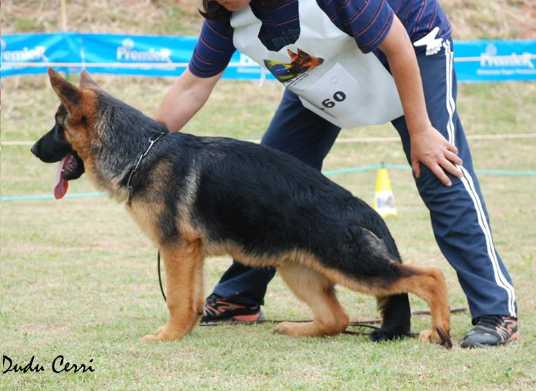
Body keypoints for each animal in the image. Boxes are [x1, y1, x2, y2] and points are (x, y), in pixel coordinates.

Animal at [31, 70, 452, 350]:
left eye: (56, 125)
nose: (33, 150)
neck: (141, 152)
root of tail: (367, 212)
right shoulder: (190, 253)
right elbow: (190, 300)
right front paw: (184, 330)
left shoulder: (176, 250)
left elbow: (179, 301)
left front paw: (168, 336)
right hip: (298, 271)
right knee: (338, 319)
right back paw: (296, 329)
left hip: (352, 266)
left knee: (430, 276)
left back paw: (440, 330)